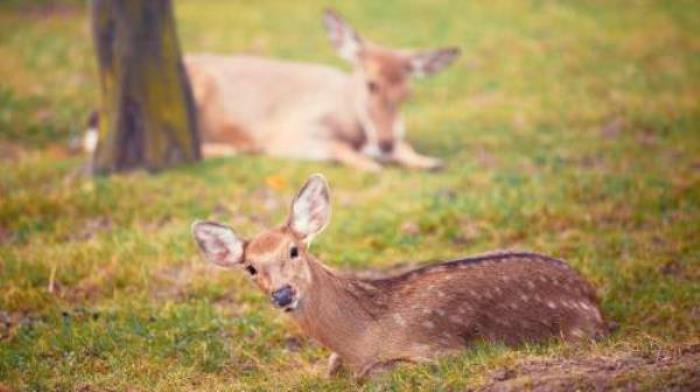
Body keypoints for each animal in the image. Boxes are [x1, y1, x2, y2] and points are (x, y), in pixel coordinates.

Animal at [183, 8, 462, 172]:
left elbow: (405, 145)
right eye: (371, 84)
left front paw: (430, 162)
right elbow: (337, 147)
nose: (384, 143)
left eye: (407, 93)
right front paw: (370, 165)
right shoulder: (288, 133)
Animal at [190, 174, 608, 376]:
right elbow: (331, 368)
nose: (282, 294)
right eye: (250, 268)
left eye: (294, 250)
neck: (364, 338)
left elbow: (374, 375)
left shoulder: (442, 350)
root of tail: (592, 295)